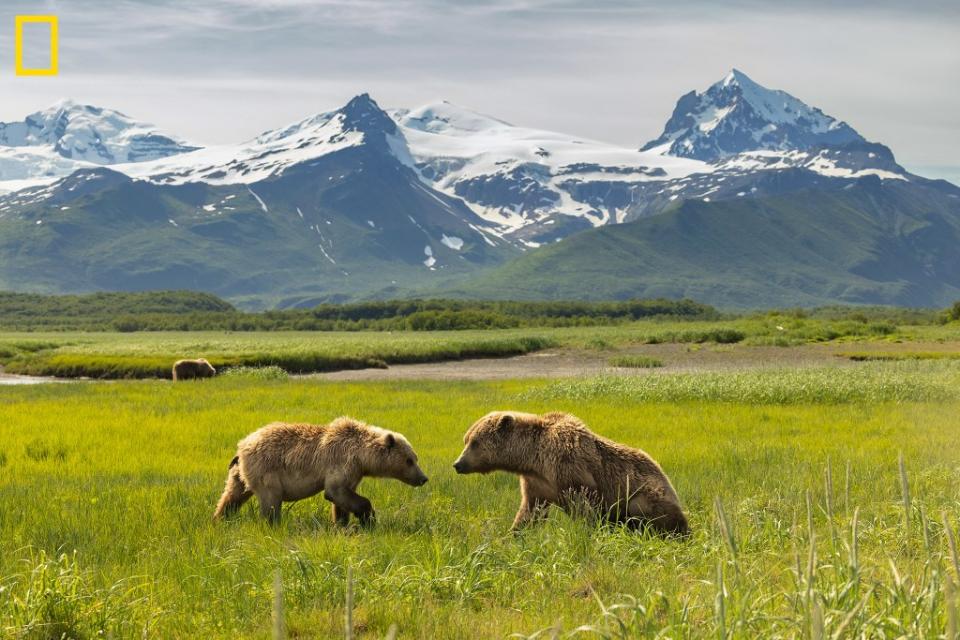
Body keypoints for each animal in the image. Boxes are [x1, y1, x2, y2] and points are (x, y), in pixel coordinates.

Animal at [218, 418, 432, 528]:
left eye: (415, 458)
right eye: (409, 460)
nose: (423, 478)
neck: (362, 455)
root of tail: (242, 446)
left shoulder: (354, 473)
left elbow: (342, 498)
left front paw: (342, 523)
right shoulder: (341, 461)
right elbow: (334, 491)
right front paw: (368, 518)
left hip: (240, 473)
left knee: (232, 495)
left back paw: (220, 518)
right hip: (266, 470)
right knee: (271, 500)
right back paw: (273, 524)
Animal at [452, 410, 688, 536]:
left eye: (474, 442)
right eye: (466, 439)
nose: (457, 464)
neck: (533, 459)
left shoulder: (570, 467)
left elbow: (584, 507)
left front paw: (590, 533)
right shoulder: (537, 484)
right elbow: (529, 511)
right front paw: (513, 535)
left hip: (647, 493)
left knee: (645, 511)